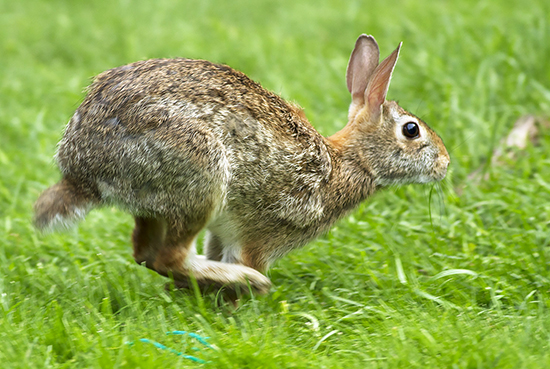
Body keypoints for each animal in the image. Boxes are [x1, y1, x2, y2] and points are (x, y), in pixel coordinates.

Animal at [34, 34, 450, 294]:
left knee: (146, 253)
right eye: (411, 130)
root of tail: (82, 170)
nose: (445, 164)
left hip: (157, 204)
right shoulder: (261, 237)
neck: (349, 161)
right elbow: (248, 257)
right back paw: (248, 282)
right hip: (201, 178)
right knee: (169, 256)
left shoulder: (224, 232)